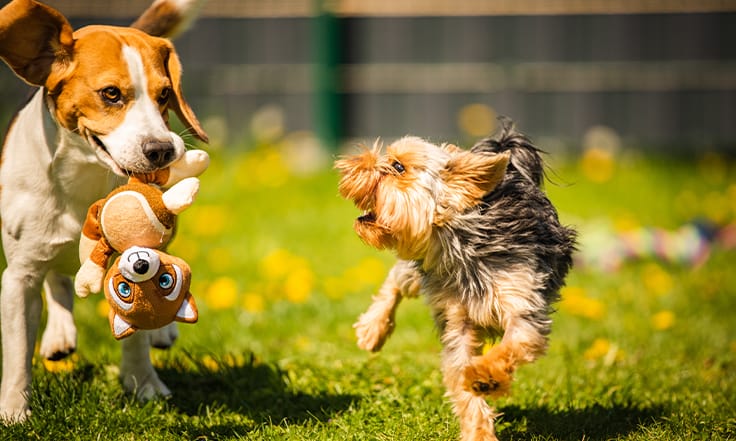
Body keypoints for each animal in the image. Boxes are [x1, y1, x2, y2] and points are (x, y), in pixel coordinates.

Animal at [0, 0, 208, 420]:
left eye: (165, 95)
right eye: (111, 94)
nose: (162, 150)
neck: (84, 179)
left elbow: (138, 332)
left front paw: (142, 384)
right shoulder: (18, 278)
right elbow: (17, 356)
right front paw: (14, 412)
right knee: (58, 282)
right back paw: (60, 333)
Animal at [336, 120, 576, 440]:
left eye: (398, 166)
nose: (352, 163)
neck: (463, 244)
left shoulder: (524, 305)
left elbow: (512, 345)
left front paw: (486, 376)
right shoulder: (457, 322)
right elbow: (463, 381)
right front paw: (479, 432)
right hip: (418, 265)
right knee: (397, 279)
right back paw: (373, 330)